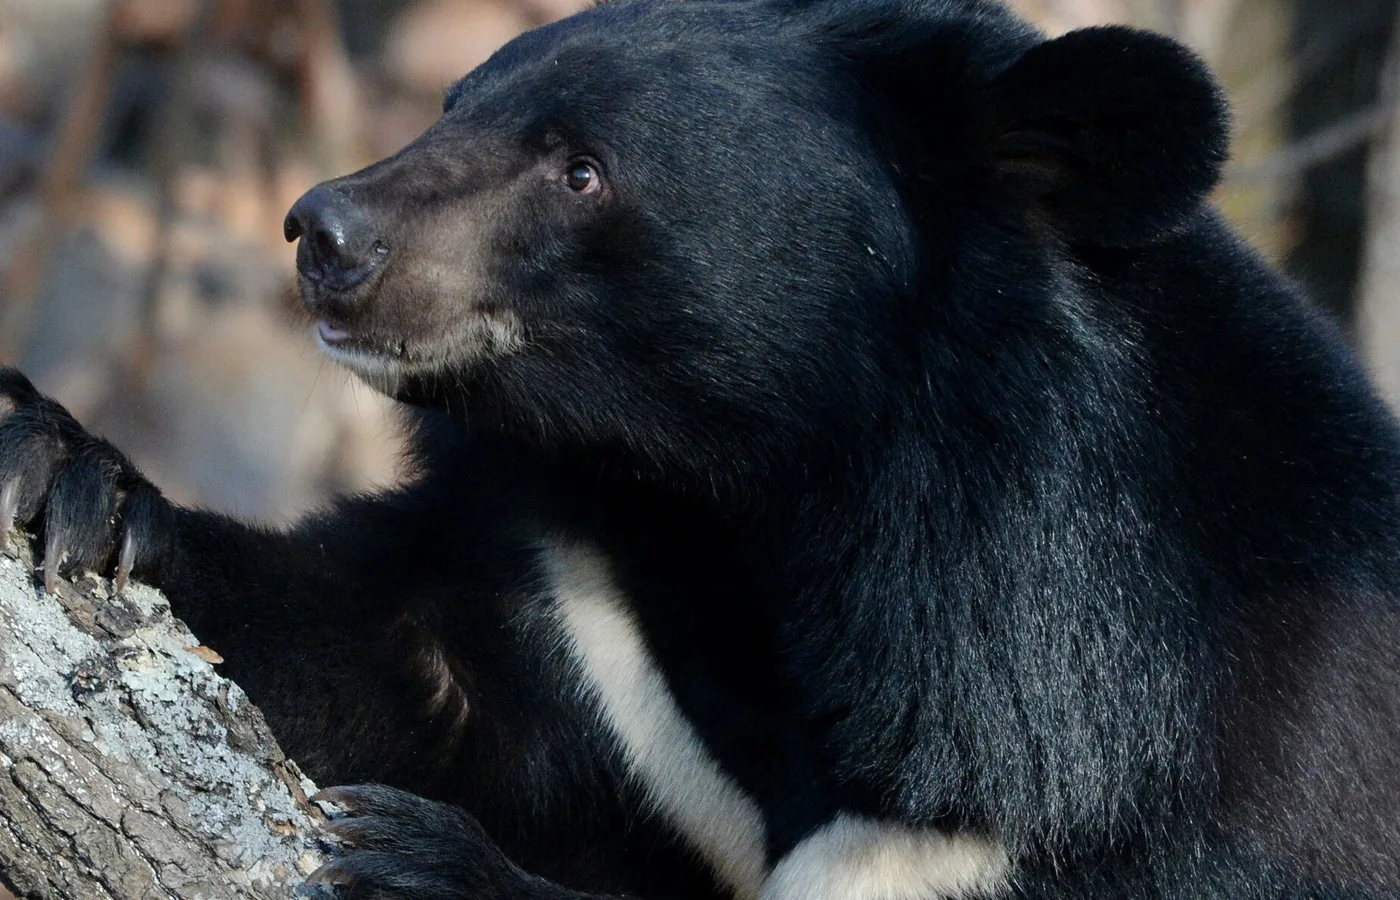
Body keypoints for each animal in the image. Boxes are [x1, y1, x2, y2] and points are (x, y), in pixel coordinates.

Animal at [2, 0, 1400, 895]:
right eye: (457, 103)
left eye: (581, 170)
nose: (324, 234)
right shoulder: (598, 616)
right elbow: (383, 659)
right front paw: (64, 473)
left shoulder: (1164, 778)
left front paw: (415, 864)